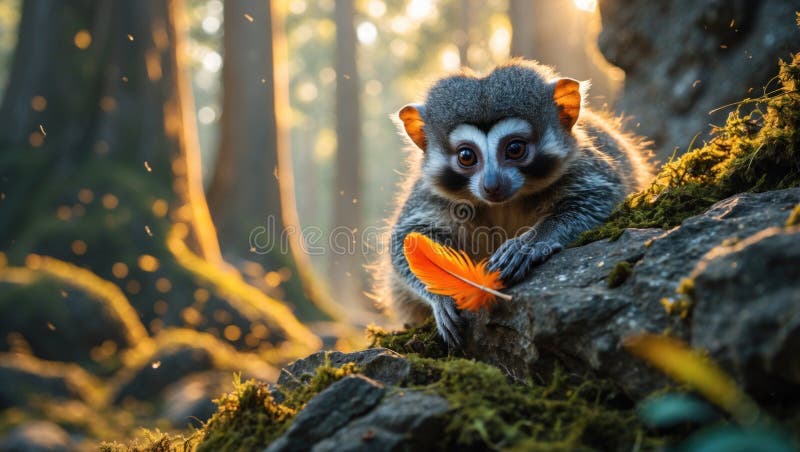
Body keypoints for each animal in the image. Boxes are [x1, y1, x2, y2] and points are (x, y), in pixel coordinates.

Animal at [377, 59, 653, 347]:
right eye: (466, 156)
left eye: (515, 149)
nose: (492, 184)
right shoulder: (429, 192)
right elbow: (408, 238)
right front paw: (443, 294)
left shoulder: (581, 164)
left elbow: (596, 195)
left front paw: (528, 244)